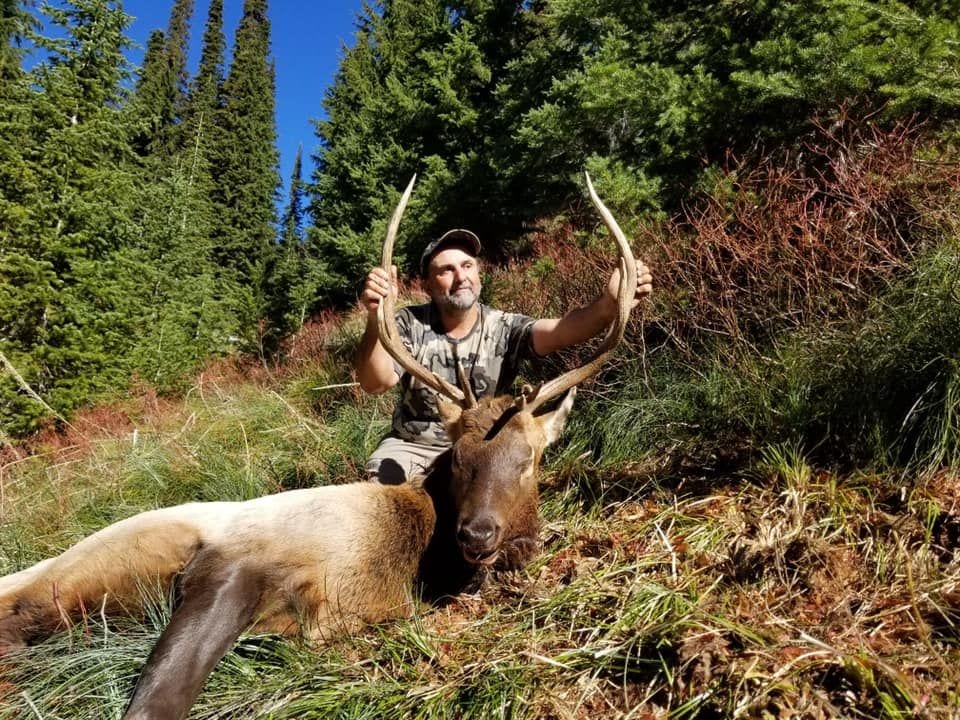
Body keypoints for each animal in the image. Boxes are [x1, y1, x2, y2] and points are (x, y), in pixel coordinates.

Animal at [0, 173, 637, 720]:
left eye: (528, 461)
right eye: (457, 460)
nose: (478, 534)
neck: (395, 565)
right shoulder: (235, 558)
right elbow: (160, 696)